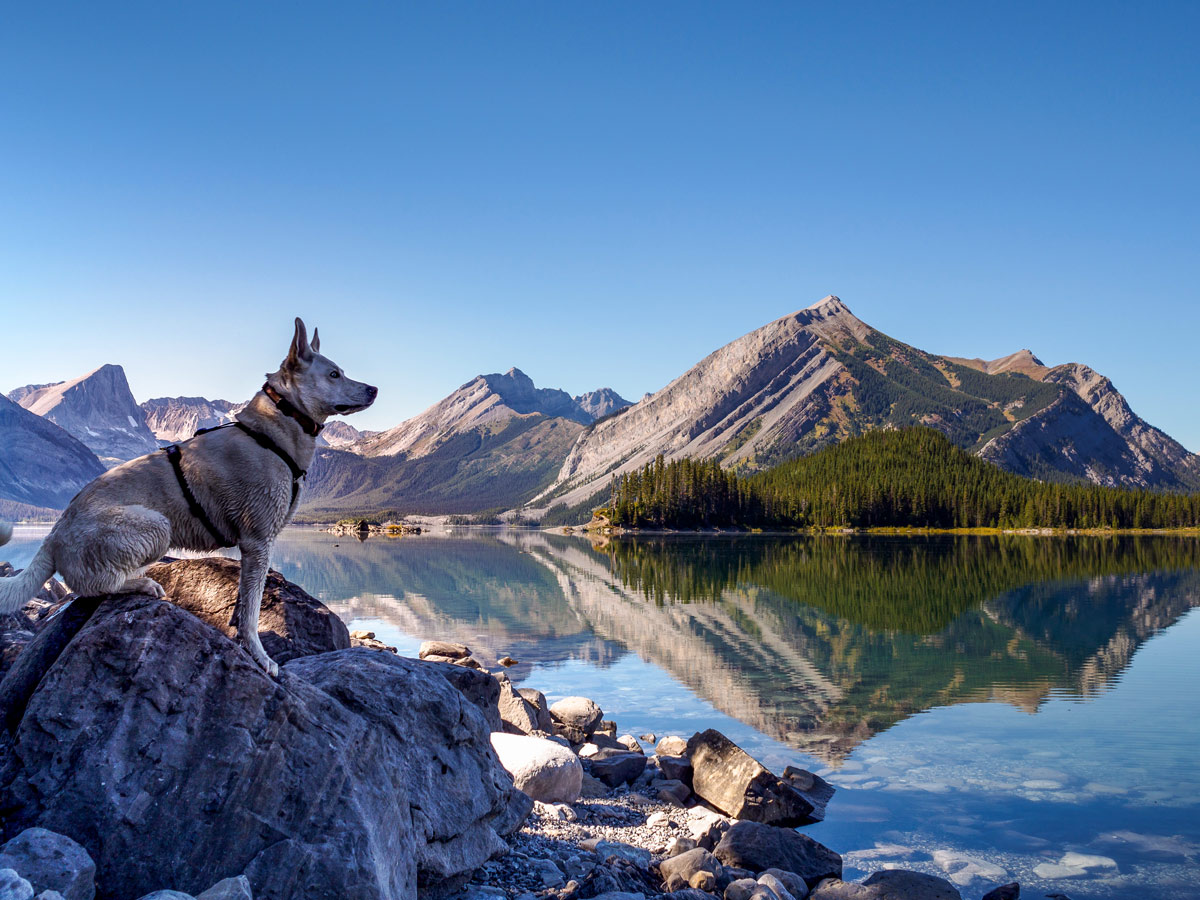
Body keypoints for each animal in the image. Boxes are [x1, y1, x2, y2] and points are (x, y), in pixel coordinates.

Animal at [0, 316, 374, 676]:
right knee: (91, 585)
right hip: (155, 525)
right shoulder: (258, 542)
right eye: (334, 373)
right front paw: (259, 655)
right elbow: (253, 610)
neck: (273, 427)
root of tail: (53, 535)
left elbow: (243, 605)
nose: (374, 388)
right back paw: (142, 585)